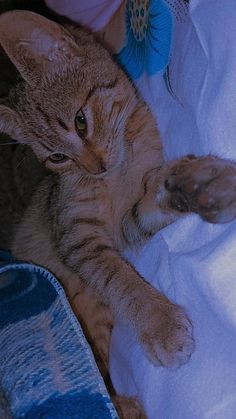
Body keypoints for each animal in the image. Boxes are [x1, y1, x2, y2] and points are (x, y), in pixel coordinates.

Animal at [0, 8, 236, 418]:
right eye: (57, 157)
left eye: (81, 121)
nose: (95, 168)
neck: (117, 174)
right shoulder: (77, 241)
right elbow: (119, 279)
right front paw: (159, 324)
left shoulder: (130, 221)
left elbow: (154, 199)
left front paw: (198, 184)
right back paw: (125, 402)